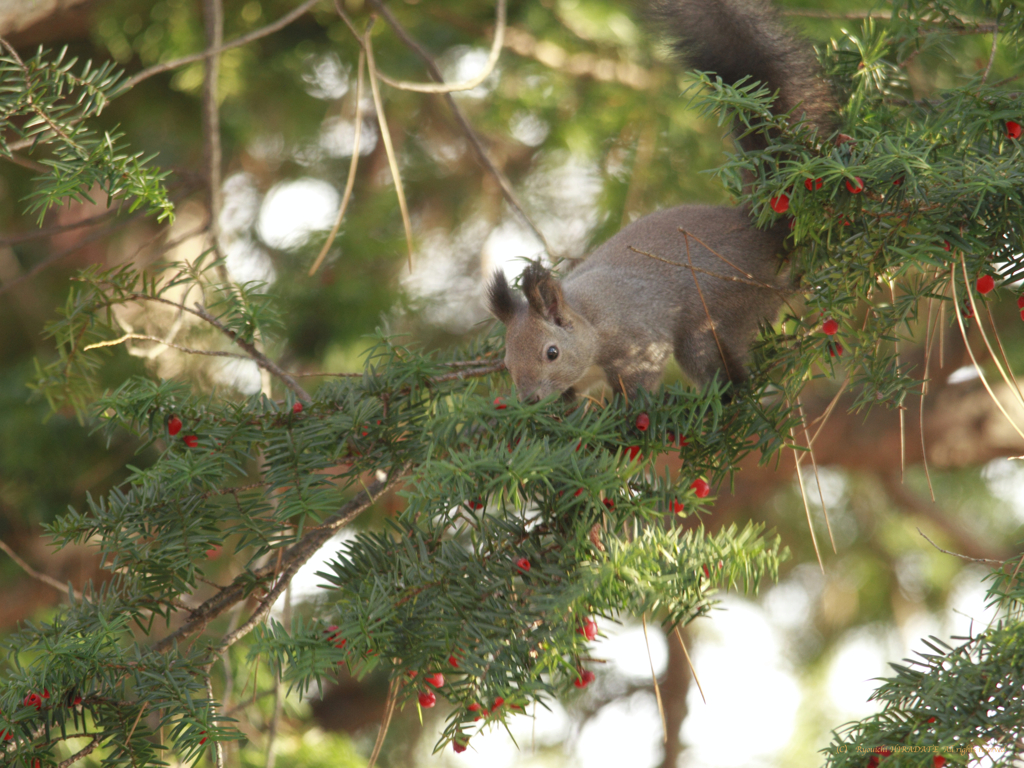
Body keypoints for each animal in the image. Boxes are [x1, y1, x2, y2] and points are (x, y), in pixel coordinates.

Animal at [485, 0, 831, 405]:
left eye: (551, 352)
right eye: (507, 362)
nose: (529, 400)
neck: (589, 318)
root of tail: (762, 228)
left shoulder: (639, 341)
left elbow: (639, 379)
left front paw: (624, 411)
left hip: (719, 310)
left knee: (722, 366)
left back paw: (720, 399)